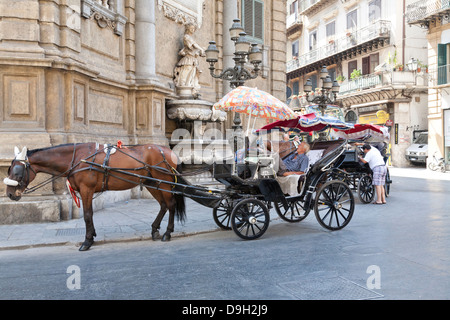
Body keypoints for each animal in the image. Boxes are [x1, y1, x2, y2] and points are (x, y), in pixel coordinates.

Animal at [2, 144, 185, 251]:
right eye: (9, 170)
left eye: (17, 172)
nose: (10, 194)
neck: (77, 158)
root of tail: (169, 151)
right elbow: (88, 215)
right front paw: (92, 235)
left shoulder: (86, 190)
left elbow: (88, 215)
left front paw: (87, 240)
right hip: (152, 183)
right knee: (163, 205)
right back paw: (155, 229)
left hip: (164, 182)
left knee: (170, 204)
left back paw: (167, 232)